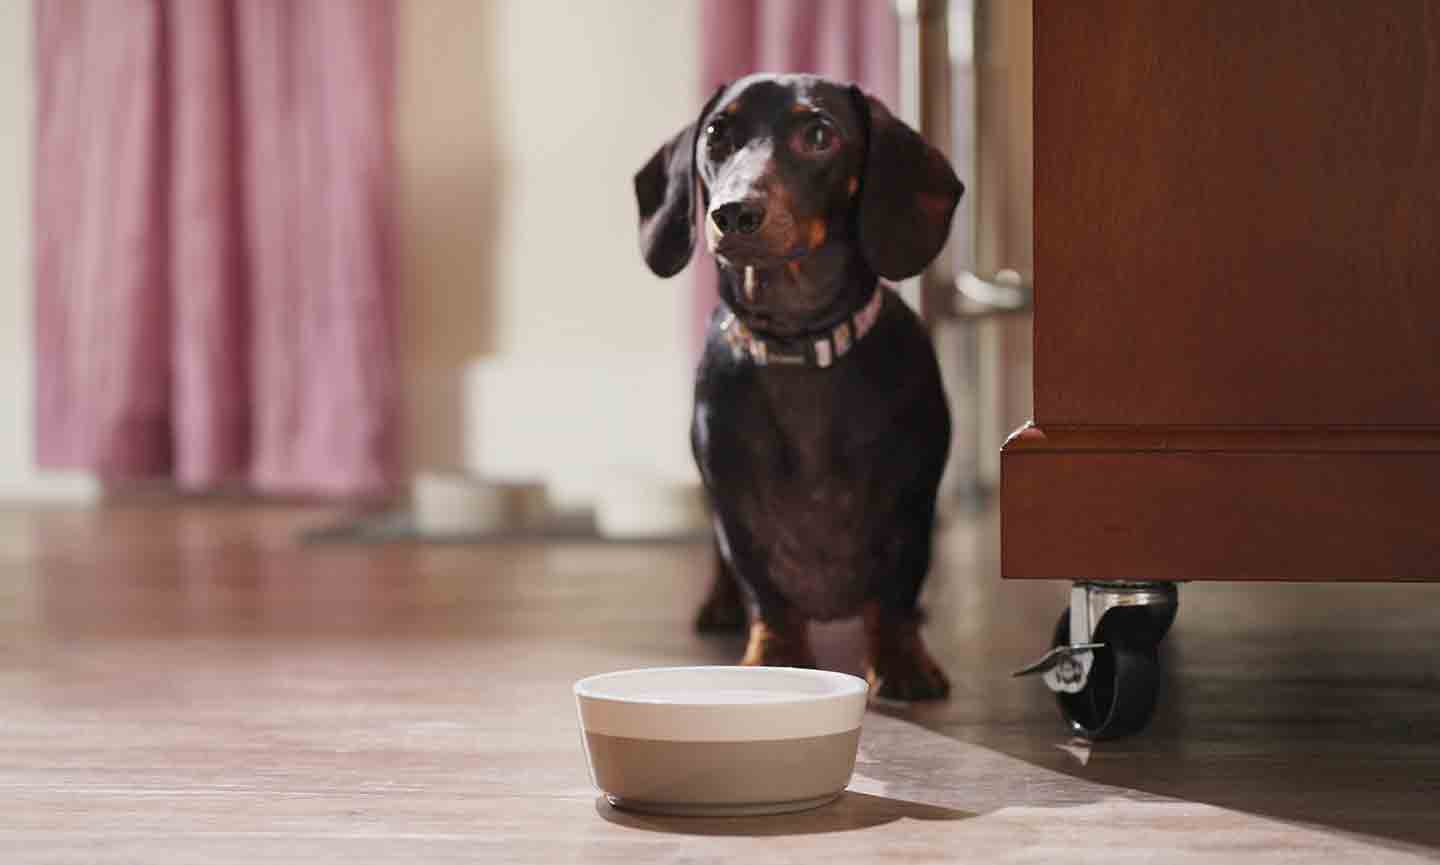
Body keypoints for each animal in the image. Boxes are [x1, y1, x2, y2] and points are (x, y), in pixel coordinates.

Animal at [633, 70, 961, 699]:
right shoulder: (733, 506)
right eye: (717, 133)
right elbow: (766, 590)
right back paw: (720, 605)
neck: (797, 341)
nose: (734, 213)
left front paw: (903, 662)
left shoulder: (912, 504)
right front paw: (775, 657)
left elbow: (895, 591)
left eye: (819, 135)